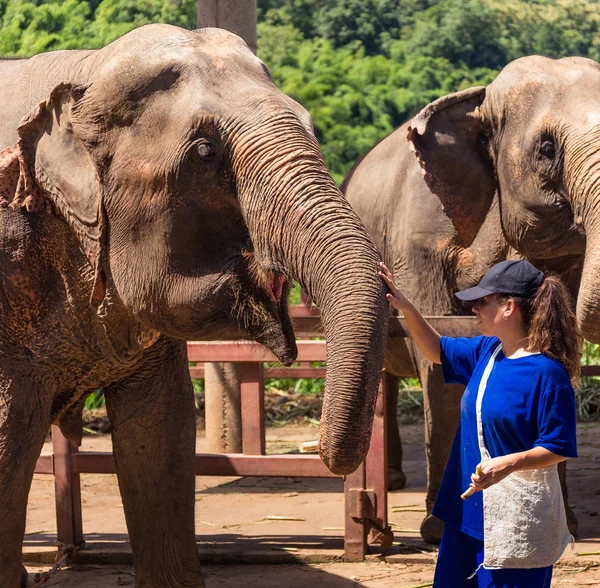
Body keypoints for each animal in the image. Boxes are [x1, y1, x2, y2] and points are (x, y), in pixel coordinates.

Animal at [342, 54, 596, 544]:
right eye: (547, 149)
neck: (480, 100)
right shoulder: (418, 241)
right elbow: (439, 358)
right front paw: (440, 530)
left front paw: (567, 525)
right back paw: (394, 482)